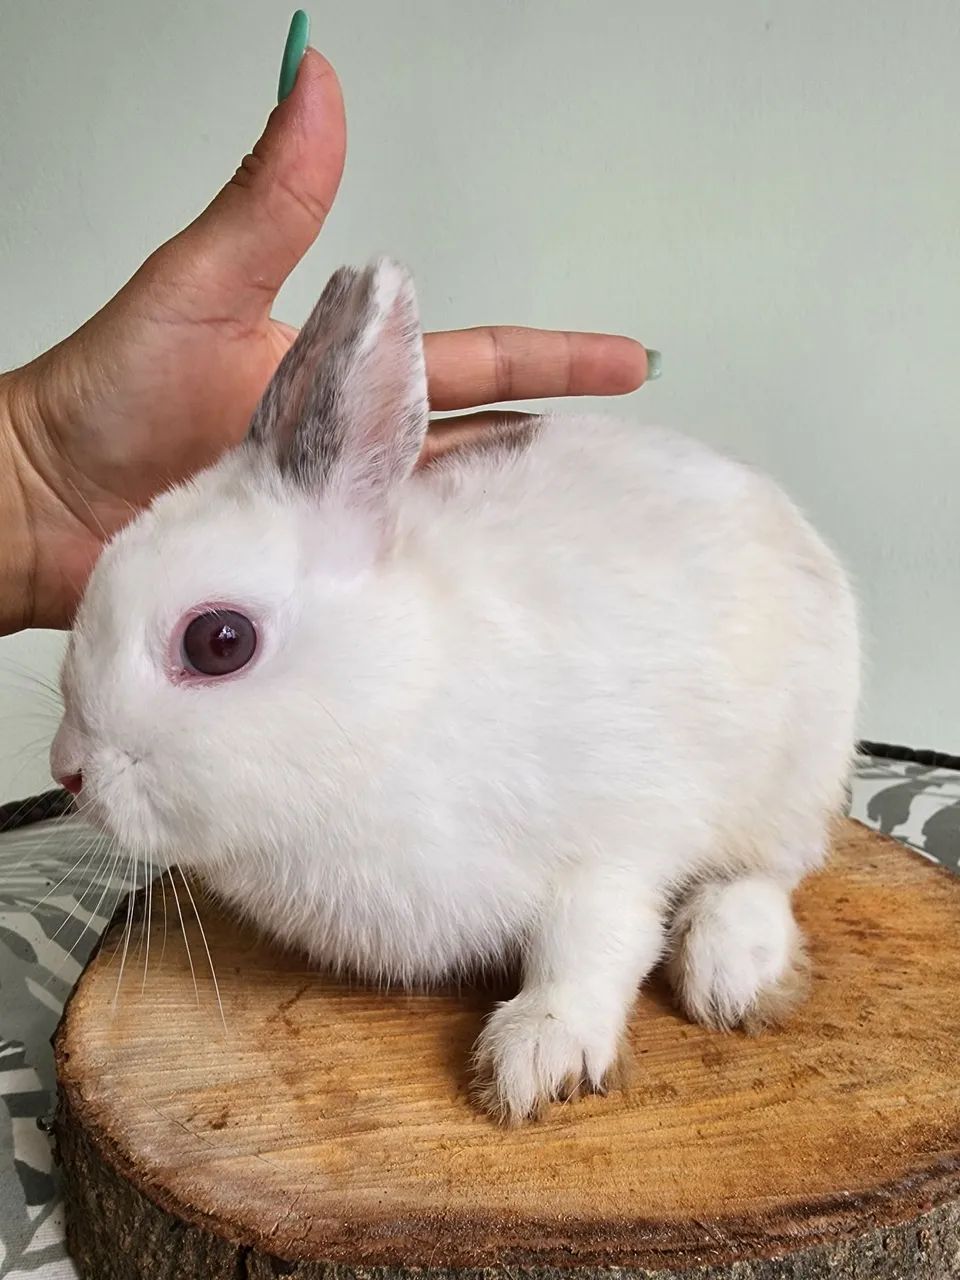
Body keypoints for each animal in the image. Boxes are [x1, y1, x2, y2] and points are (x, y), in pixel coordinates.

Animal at [50, 257, 859, 1123]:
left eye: (218, 642)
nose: (70, 771)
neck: (394, 706)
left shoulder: (610, 847)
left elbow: (595, 947)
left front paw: (535, 1061)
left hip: (794, 766)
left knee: (770, 871)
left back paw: (732, 971)